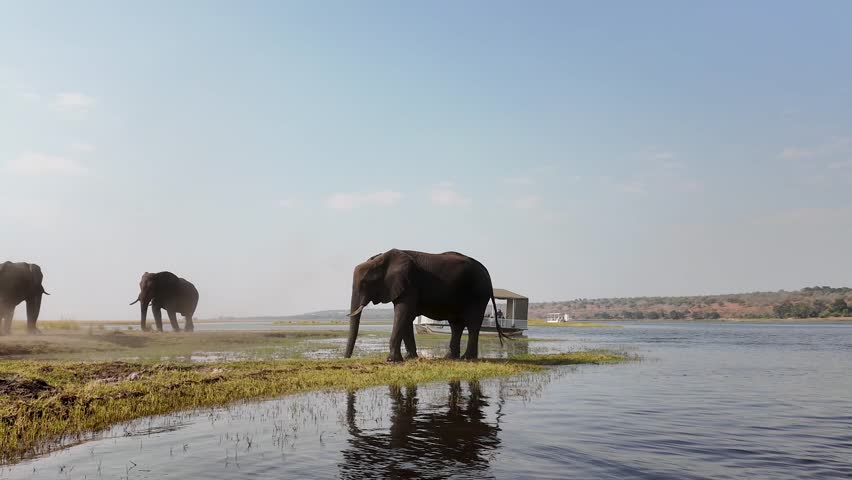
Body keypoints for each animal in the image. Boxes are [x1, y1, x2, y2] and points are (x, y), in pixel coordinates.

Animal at [345, 249, 507, 362]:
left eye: (365, 283)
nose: (346, 358)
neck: (382, 258)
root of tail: (486, 271)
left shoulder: (410, 284)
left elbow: (403, 314)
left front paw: (391, 360)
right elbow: (406, 319)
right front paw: (410, 358)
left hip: (478, 294)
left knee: (472, 324)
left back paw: (467, 358)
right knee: (456, 325)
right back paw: (450, 358)